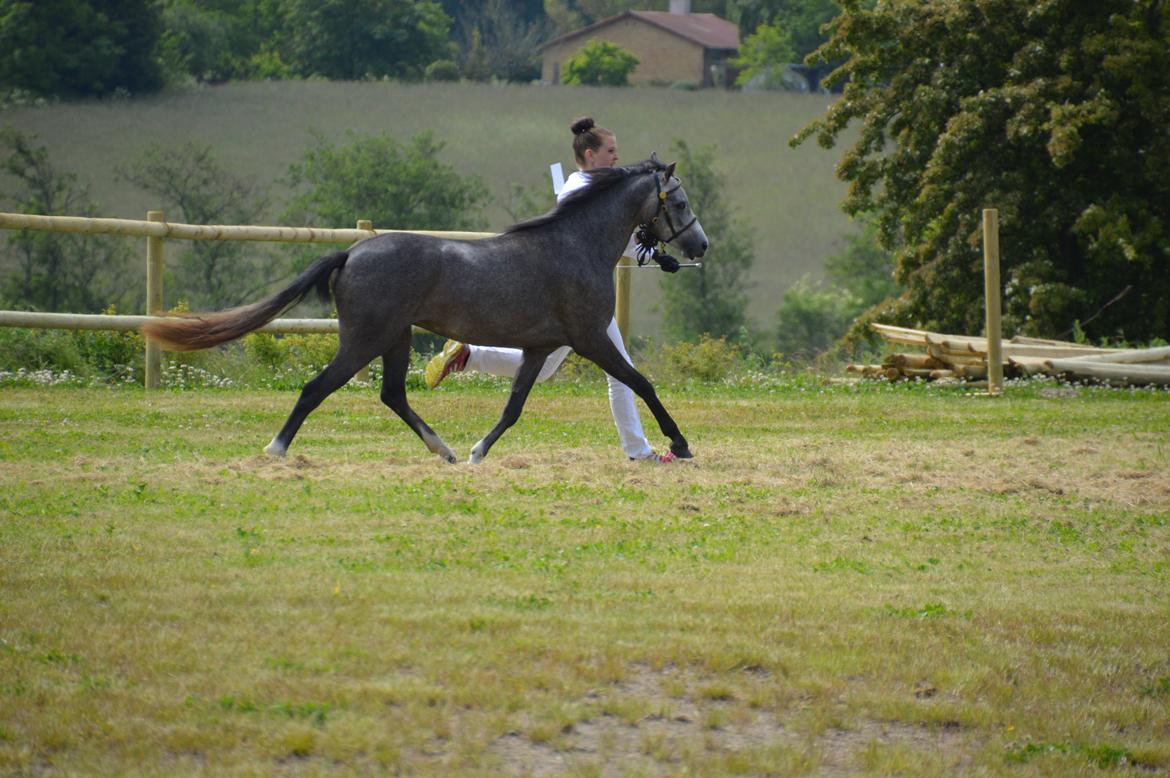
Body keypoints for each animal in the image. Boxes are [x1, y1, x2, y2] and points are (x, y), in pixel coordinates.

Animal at [146, 156, 711, 460]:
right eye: (680, 202)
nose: (699, 245)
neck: (575, 246)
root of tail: (352, 252)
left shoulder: (539, 348)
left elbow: (512, 408)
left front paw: (479, 452)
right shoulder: (590, 339)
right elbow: (642, 384)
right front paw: (680, 443)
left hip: (394, 338)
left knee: (392, 395)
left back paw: (445, 449)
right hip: (364, 340)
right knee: (315, 388)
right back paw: (276, 448)